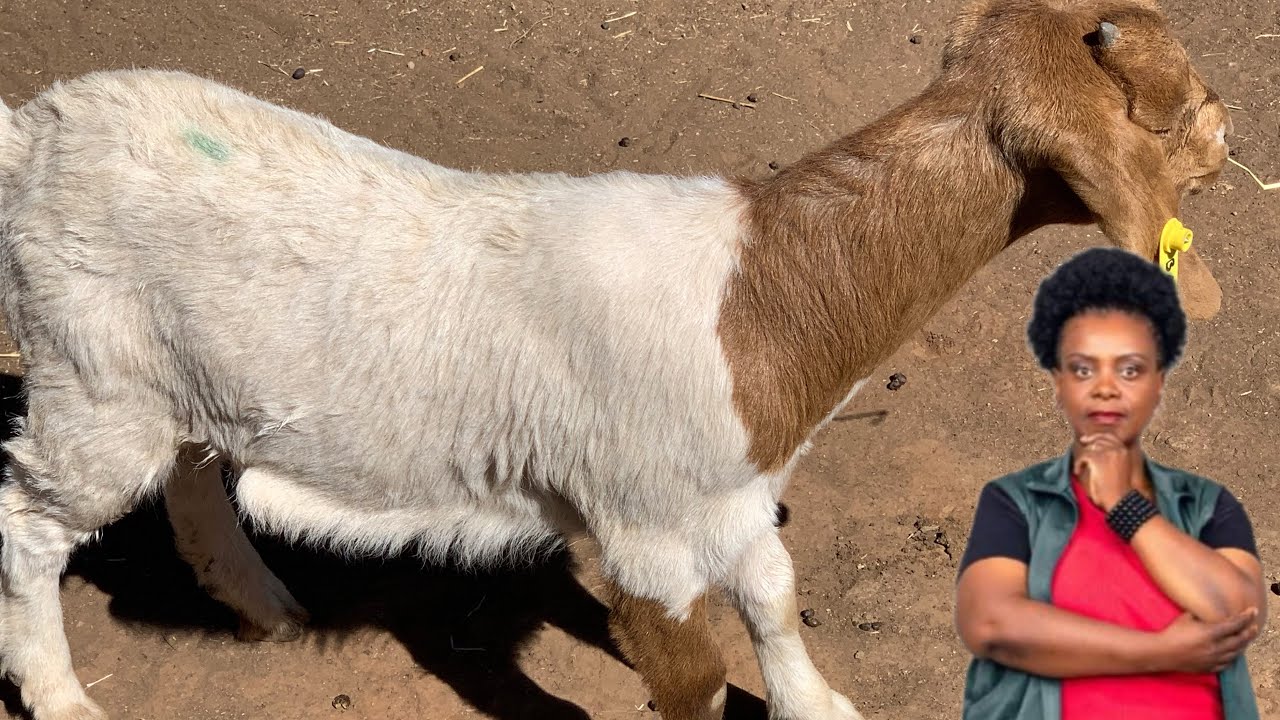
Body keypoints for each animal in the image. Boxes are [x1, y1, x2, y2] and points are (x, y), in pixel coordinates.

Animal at [0, 0, 1231, 718]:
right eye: (1176, 107)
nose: (1232, 136)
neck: (757, 302)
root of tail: (38, 126)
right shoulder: (645, 532)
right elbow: (691, 682)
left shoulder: (737, 496)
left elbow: (776, 601)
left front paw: (818, 704)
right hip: (86, 373)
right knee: (30, 523)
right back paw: (61, 695)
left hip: (175, 377)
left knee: (193, 480)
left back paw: (265, 605)